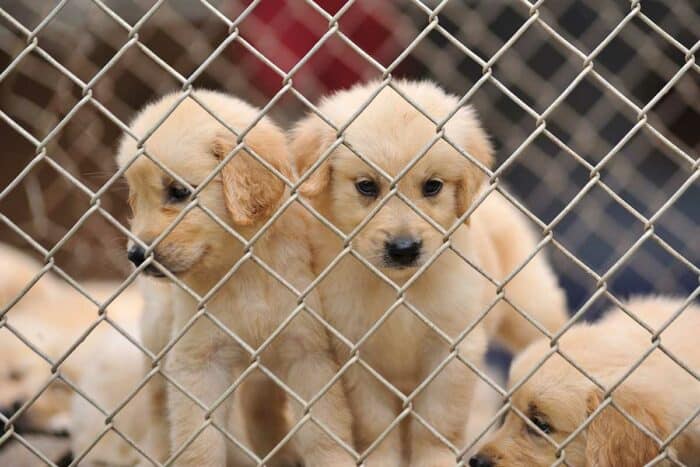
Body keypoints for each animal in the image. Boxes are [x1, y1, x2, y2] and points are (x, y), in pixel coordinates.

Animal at [118, 90, 356, 467]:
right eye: (135, 198)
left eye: (178, 191)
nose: (136, 255)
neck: (243, 266)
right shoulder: (198, 361)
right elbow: (197, 442)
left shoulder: (308, 351)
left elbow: (324, 430)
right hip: (158, 336)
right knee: (158, 413)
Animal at [290, 78, 568, 466]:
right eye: (366, 186)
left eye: (432, 186)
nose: (404, 248)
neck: (398, 287)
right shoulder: (357, 354)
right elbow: (376, 423)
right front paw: (383, 461)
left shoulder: (452, 348)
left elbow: (437, 422)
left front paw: (435, 459)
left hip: (530, 307)